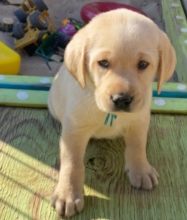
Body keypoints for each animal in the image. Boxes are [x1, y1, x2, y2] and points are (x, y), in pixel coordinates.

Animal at [47, 8, 176, 217]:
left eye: (143, 64)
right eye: (103, 63)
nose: (121, 99)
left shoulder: (139, 120)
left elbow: (137, 146)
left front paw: (141, 170)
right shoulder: (74, 128)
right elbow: (72, 162)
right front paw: (68, 194)